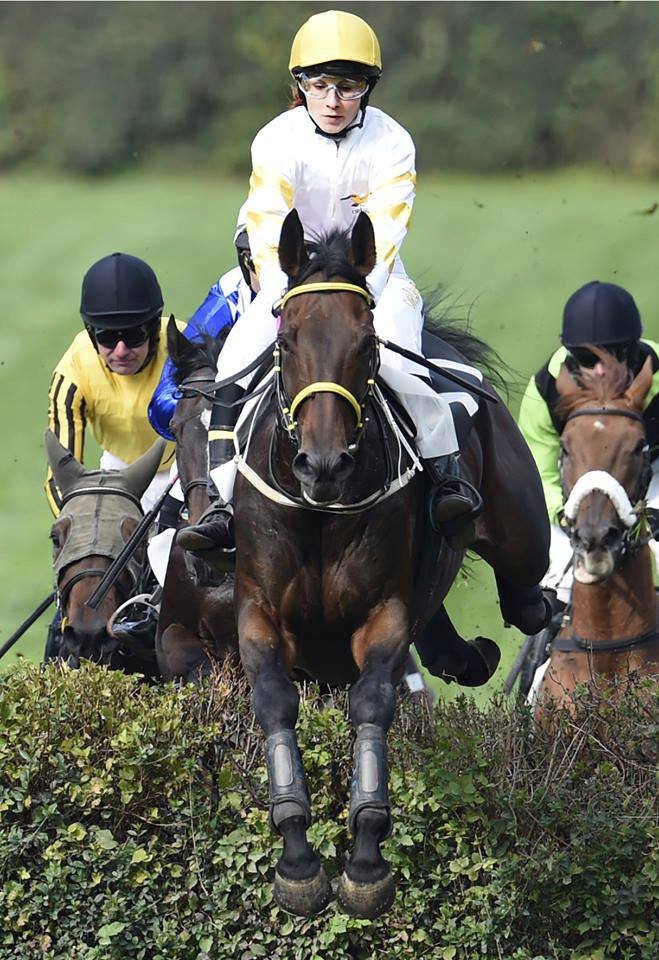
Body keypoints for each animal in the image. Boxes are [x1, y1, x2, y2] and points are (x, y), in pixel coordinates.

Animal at [232, 212, 552, 924]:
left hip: (523, 532)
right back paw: (468, 653)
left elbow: (373, 702)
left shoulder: (383, 613)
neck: (320, 512)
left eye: (365, 342)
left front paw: (365, 863)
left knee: (526, 597)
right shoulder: (258, 612)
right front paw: (298, 860)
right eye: (286, 339)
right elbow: (273, 700)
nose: (323, 465)